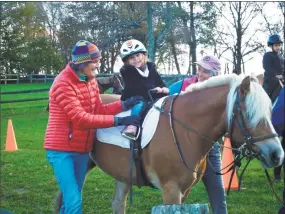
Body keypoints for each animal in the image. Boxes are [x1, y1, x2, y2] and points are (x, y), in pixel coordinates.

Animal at [55, 73, 282, 212]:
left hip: (123, 174)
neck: (185, 130)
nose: (276, 154)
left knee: (118, 204)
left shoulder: (185, 192)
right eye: (249, 113)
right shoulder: (171, 190)